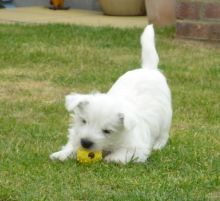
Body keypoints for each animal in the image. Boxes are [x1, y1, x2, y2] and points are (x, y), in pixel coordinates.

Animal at [49, 24, 172, 163]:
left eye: (107, 131)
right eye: (84, 121)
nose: (85, 142)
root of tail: (149, 69)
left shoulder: (136, 147)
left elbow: (123, 153)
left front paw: (112, 158)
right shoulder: (76, 133)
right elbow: (72, 144)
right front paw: (61, 154)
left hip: (166, 117)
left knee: (164, 134)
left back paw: (158, 145)